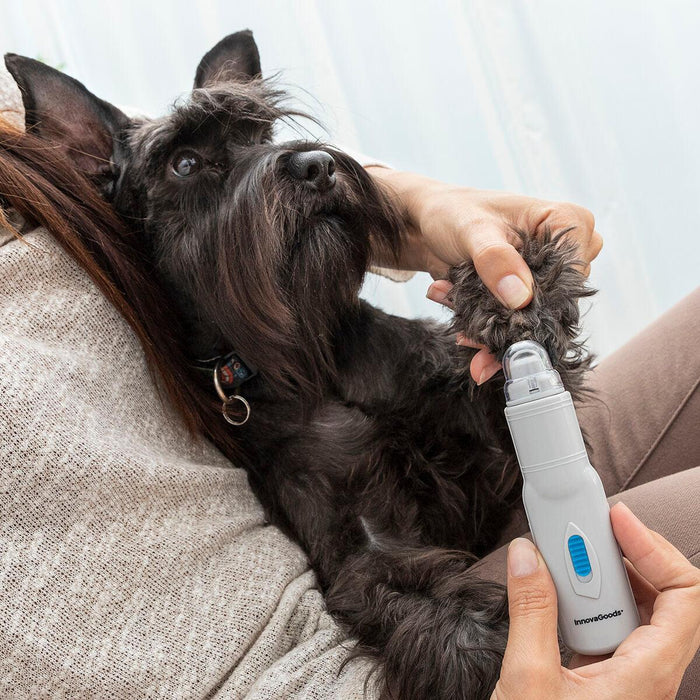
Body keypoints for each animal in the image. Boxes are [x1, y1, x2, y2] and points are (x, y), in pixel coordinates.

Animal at [6, 32, 592, 700]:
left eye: (260, 131)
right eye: (185, 164)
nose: (315, 165)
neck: (311, 360)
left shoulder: (490, 447)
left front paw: (517, 295)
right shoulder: (356, 539)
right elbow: (399, 589)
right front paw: (481, 649)